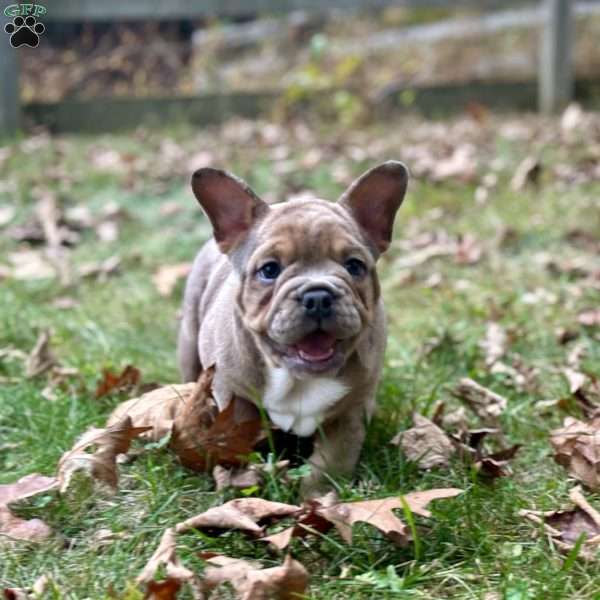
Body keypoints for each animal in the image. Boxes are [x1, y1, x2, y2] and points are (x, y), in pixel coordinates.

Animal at [178, 161, 410, 492]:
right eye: (269, 270)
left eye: (354, 266)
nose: (318, 295)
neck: (298, 378)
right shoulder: (233, 396)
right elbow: (238, 441)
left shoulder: (352, 410)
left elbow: (332, 461)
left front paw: (317, 496)